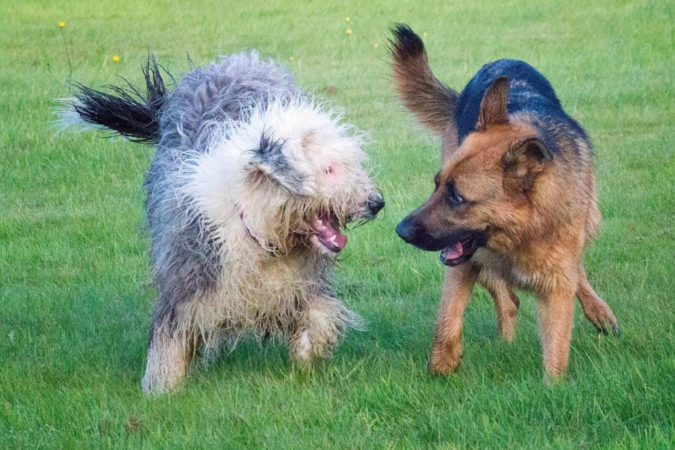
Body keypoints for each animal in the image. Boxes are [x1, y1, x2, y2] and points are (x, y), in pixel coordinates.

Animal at [60, 52, 382, 394]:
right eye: (329, 169)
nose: (377, 203)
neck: (260, 232)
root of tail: (238, 61)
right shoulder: (187, 277)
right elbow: (169, 339)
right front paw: (159, 391)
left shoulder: (303, 285)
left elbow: (316, 318)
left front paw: (308, 358)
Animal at [390, 25, 616, 380]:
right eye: (437, 185)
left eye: (457, 196)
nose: (400, 230)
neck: (522, 232)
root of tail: (501, 60)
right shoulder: (462, 264)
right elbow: (447, 319)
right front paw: (442, 366)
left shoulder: (556, 289)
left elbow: (556, 351)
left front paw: (554, 387)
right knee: (509, 300)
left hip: (590, 221)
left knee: (573, 272)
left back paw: (599, 311)